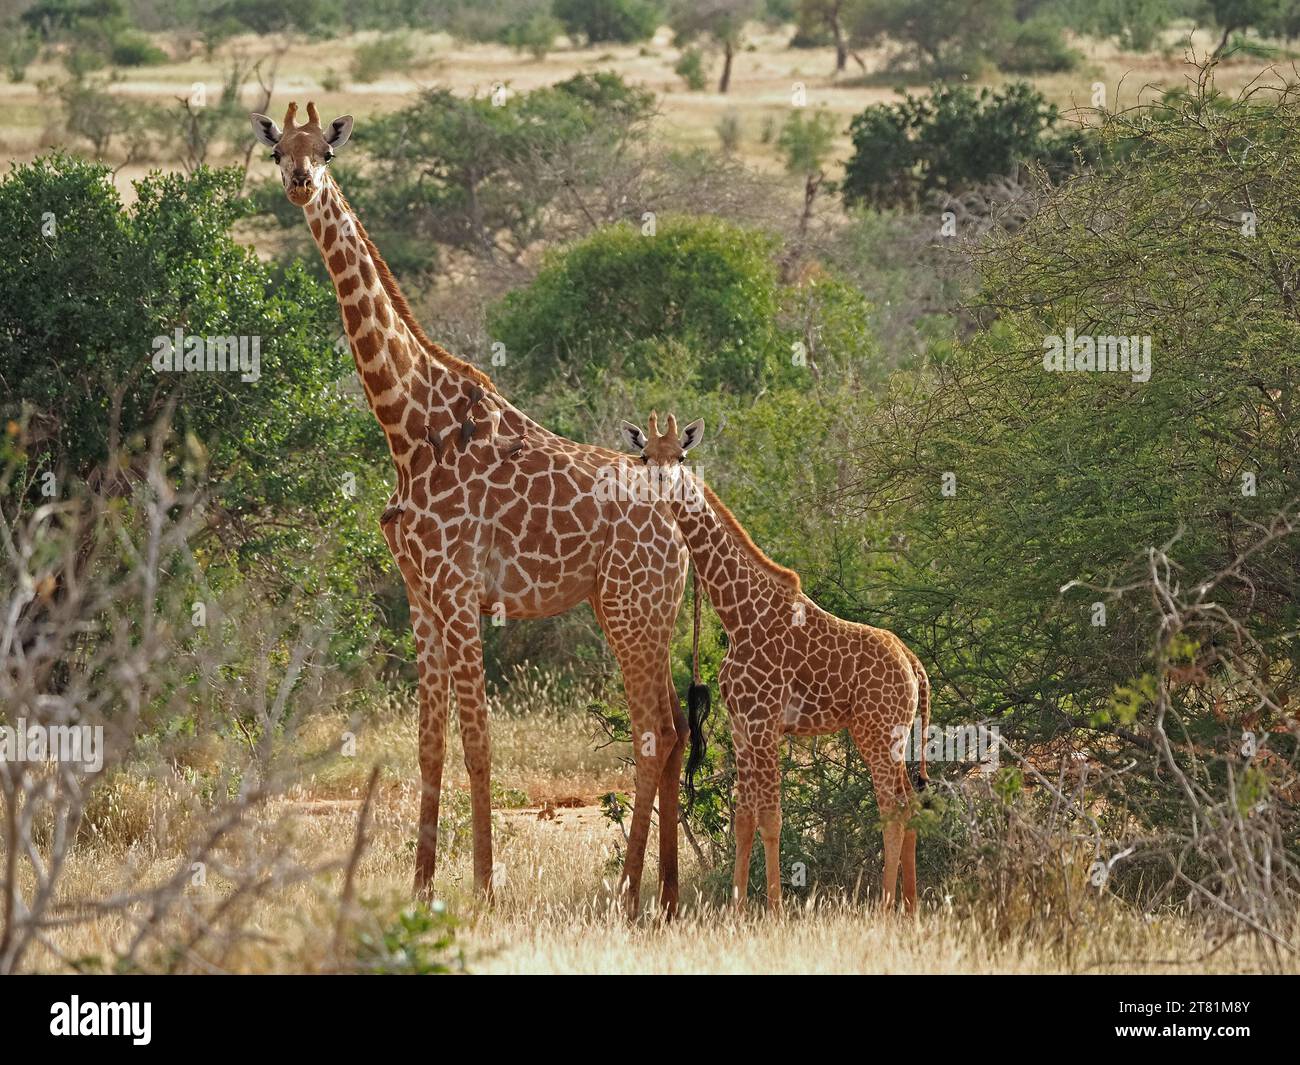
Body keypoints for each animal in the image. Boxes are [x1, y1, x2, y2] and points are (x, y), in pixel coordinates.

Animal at [249, 102, 690, 917]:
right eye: (275, 152)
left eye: (326, 149)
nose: (300, 181)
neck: (405, 425)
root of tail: (676, 532)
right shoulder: (421, 596)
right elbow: (430, 743)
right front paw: (421, 884)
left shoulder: (459, 592)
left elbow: (480, 741)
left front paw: (484, 886)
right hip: (633, 610)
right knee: (670, 728)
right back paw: (664, 894)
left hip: (633, 610)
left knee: (655, 731)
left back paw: (631, 893)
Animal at [621, 412, 931, 913]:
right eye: (646, 456)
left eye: (682, 456)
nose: (664, 482)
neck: (739, 614)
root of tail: (913, 664)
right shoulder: (742, 725)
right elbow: (744, 816)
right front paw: (738, 907)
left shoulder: (765, 724)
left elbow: (771, 817)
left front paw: (776, 909)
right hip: (895, 733)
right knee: (911, 801)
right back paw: (910, 904)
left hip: (878, 730)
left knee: (894, 805)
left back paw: (886, 906)